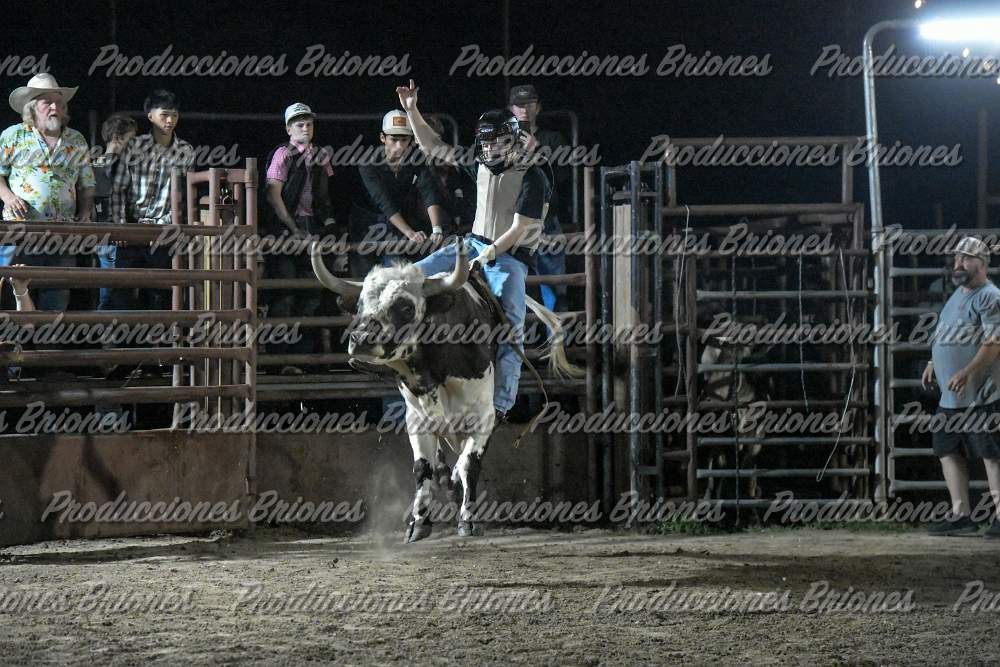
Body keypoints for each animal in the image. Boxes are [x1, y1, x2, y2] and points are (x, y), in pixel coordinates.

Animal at [311, 240, 582, 542]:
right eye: (360, 304)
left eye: (405, 306)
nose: (360, 339)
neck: (437, 366)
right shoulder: (416, 418)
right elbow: (423, 468)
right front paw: (418, 522)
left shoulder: (483, 416)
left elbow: (468, 465)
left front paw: (468, 521)